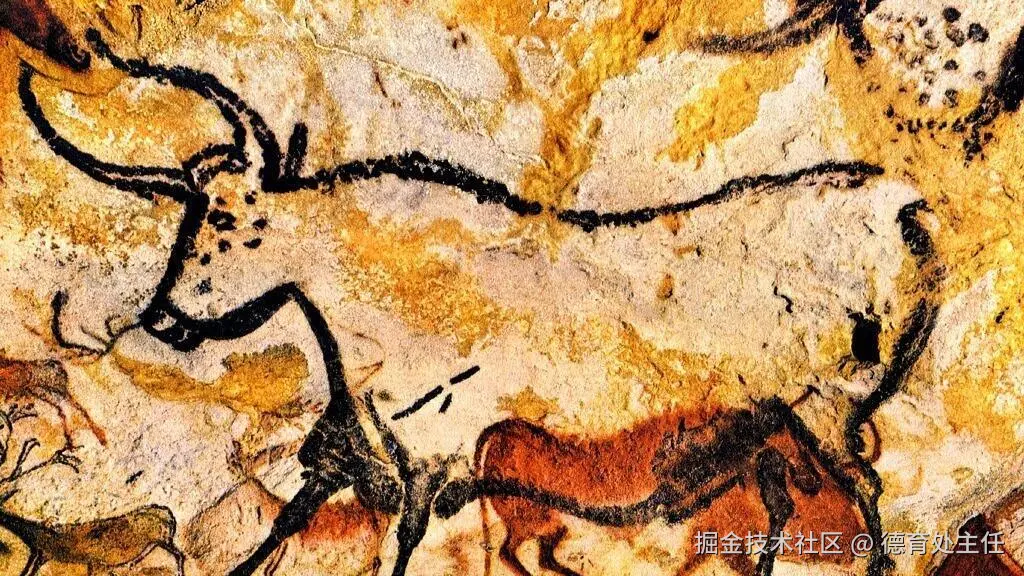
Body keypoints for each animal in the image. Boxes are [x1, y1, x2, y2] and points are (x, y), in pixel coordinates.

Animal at [14, 1, 938, 573]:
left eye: (233, 224)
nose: (163, 317)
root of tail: (906, 211)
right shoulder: (351, 454)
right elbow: (280, 525)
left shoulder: (436, 459)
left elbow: (402, 546)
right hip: (765, 426)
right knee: (782, 497)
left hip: (829, 411)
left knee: (865, 499)